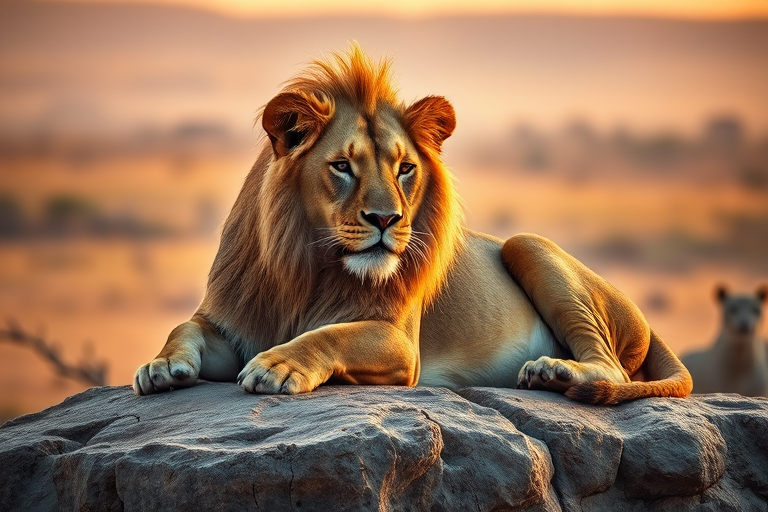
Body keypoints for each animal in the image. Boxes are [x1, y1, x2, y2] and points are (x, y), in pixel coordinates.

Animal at [133, 44, 692, 405]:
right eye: (342, 166)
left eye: (404, 168)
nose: (386, 219)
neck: (306, 267)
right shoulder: (232, 326)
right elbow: (185, 325)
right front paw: (160, 366)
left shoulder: (400, 344)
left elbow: (329, 336)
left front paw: (277, 365)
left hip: (527, 243)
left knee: (609, 367)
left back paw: (554, 372)